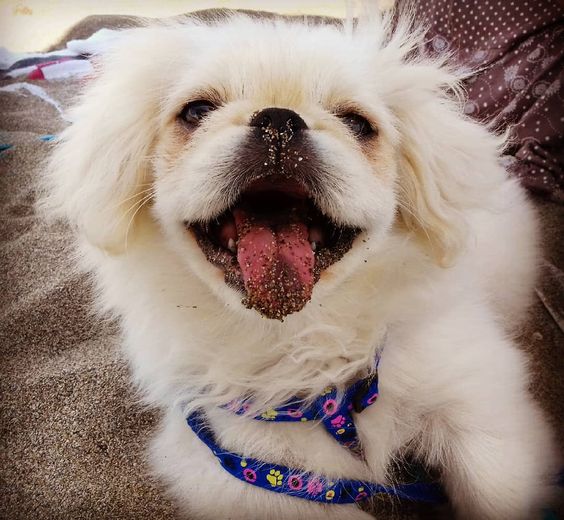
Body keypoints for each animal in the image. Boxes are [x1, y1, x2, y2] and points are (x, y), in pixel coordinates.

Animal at [45, 8, 560, 520]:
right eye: (196, 112)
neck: (309, 344)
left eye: (357, 123)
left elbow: (495, 486)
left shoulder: (480, 404)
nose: (278, 119)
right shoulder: (246, 468)